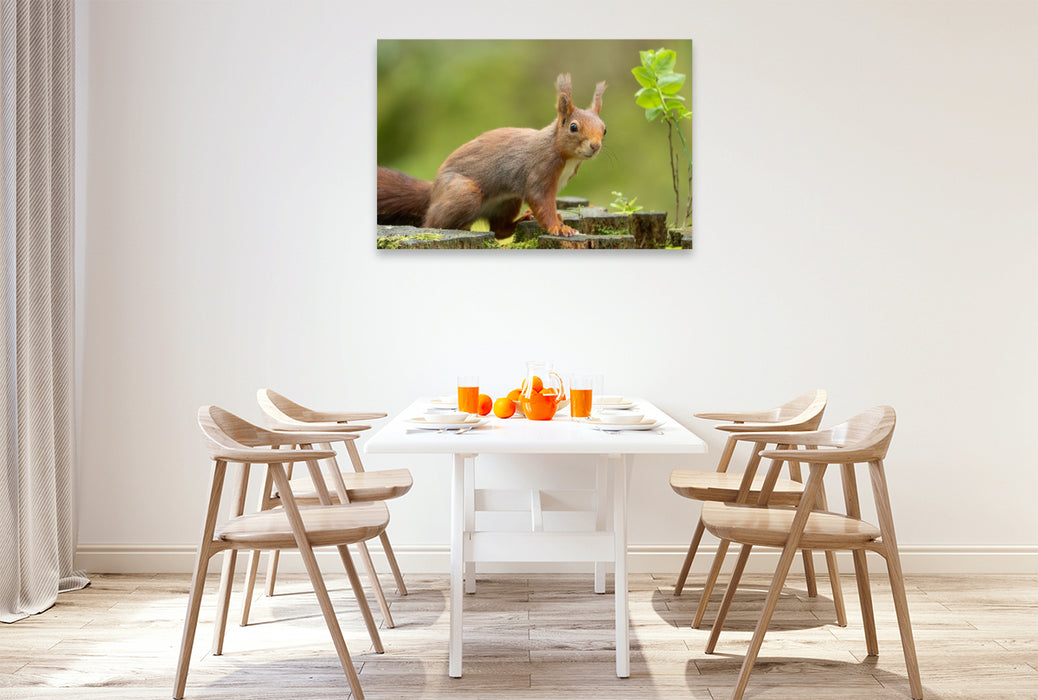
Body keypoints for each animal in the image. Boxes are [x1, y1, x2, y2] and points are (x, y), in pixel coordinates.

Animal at [377, 73, 606, 239]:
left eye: (604, 130)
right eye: (573, 127)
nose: (595, 146)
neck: (562, 154)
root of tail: (434, 191)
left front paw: (558, 218)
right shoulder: (539, 170)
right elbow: (541, 201)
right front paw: (560, 228)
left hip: (508, 201)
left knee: (499, 230)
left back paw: (522, 219)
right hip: (464, 193)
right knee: (433, 223)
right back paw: (460, 227)